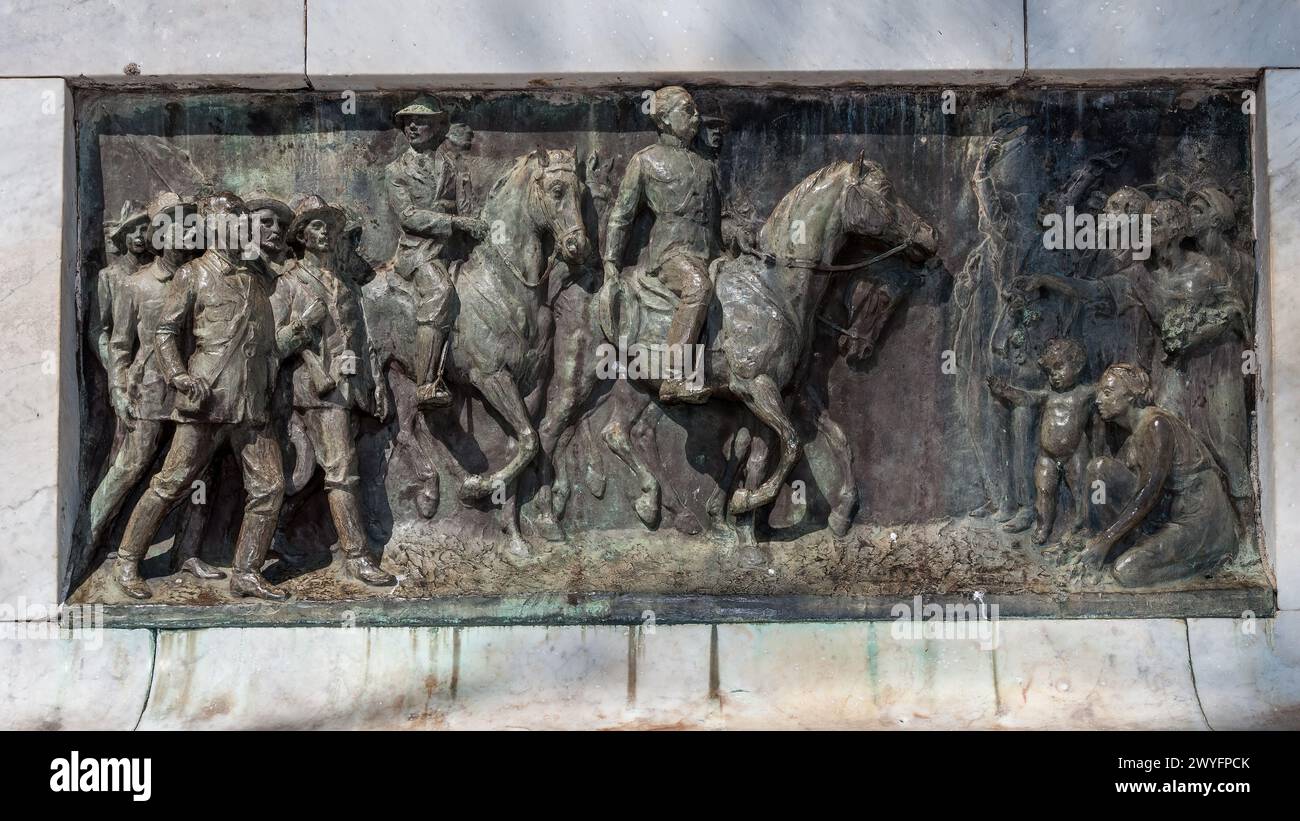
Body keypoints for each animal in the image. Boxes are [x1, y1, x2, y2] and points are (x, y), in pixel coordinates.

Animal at [366, 147, 590, 558]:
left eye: (582, 192)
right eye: (556, 190)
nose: (577, 247)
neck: (509, 288)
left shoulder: (531, 386)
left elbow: (524, 443)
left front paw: (515, 539)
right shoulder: (492, 377)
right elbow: (530, 441)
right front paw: (480, 488)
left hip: (413, 376)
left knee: (414, 426)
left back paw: (436, 489)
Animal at [556, 153, 935, 563]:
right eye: (886, 191)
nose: (929, 235)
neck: (773, 290)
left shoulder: (783, 392)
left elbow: (804, 444)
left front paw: (758, 529)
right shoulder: (756, 387)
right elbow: (790, 445)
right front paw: (743, 507)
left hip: (640, 387)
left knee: (622, 432)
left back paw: (662, 507)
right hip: (582, 381)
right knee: (561, 429)